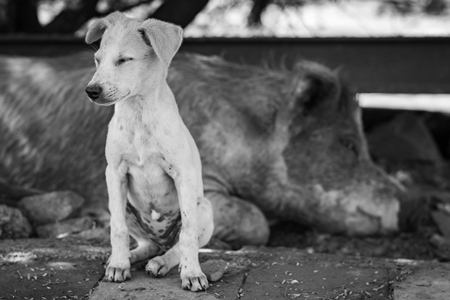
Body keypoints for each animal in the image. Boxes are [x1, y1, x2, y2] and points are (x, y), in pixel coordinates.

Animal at [85, 11, 214, 290]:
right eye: (97, 59)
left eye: (124, 60)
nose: (91, 91)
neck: (138, 112)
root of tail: (161, 240)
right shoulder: (114, 172)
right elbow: (117, 229)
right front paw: (118, 265)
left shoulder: (182, 174)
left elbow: (188, 233)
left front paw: (192, 274)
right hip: (126, 207)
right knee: (147, 244)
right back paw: (126, 258)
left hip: (205, 208)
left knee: (177, 246)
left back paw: (162, 263)